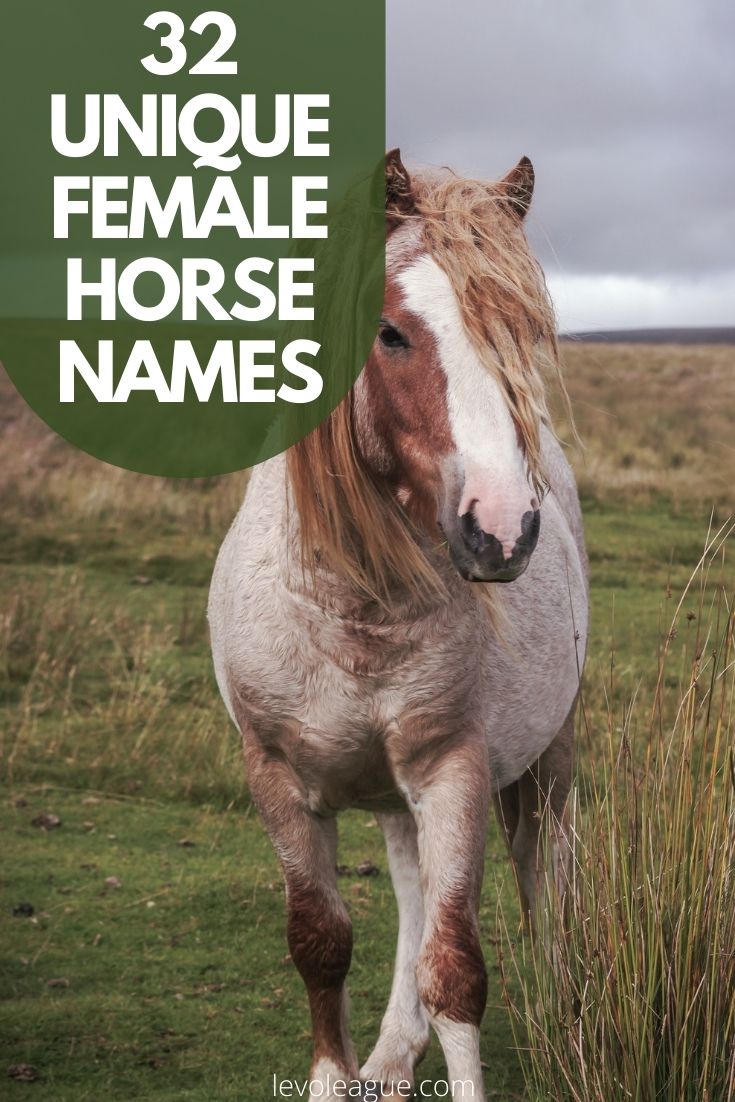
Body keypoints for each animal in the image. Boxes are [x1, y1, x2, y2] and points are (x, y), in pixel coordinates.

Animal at [208, 149, 588, 1101]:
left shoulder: (453, 772)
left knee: (546, 873)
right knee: (413, 892)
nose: (503, 528)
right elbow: (320, 943)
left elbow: (454, 970)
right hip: (390, 793)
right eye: (389, 334)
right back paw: (388, 1055)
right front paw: (334, 1078)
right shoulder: (275, 776)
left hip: (546, 759)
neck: (355, 606)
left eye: (524, 333)